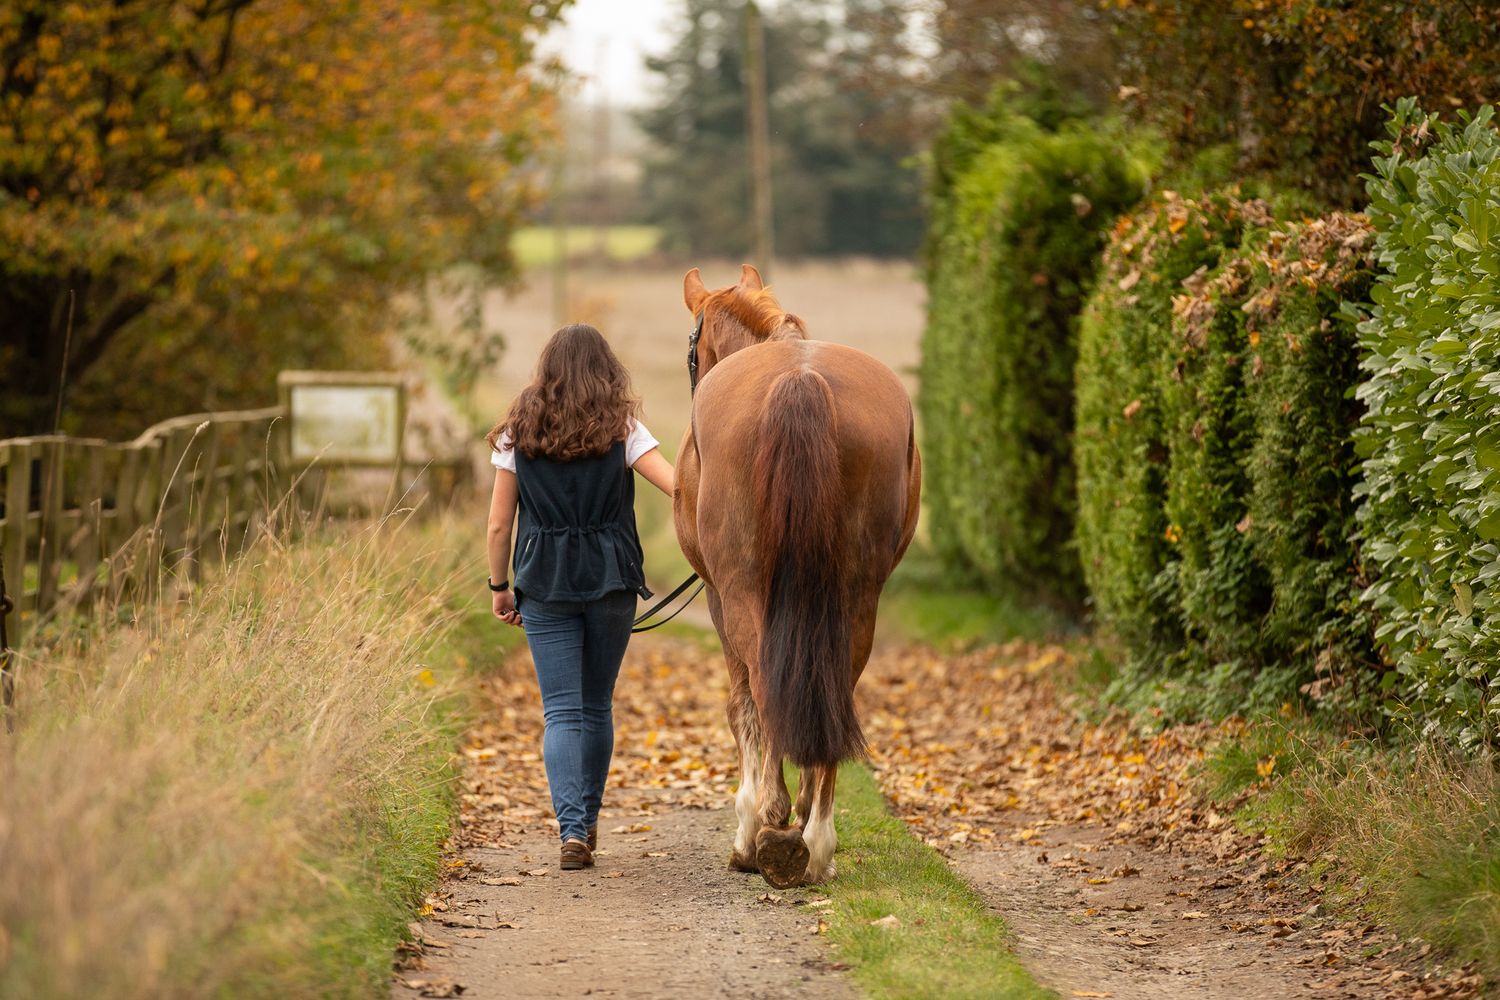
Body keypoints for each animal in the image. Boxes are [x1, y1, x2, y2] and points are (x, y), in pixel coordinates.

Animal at [672, 263, 921, 888]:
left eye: (692, 352)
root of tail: (801, 379)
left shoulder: (716, 597)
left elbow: (741, 707)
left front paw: (753, 823)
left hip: (741, 593)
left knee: (763, 690)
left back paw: (768, 830)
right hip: (856, 597)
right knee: (835, 689)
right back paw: (816, 838)